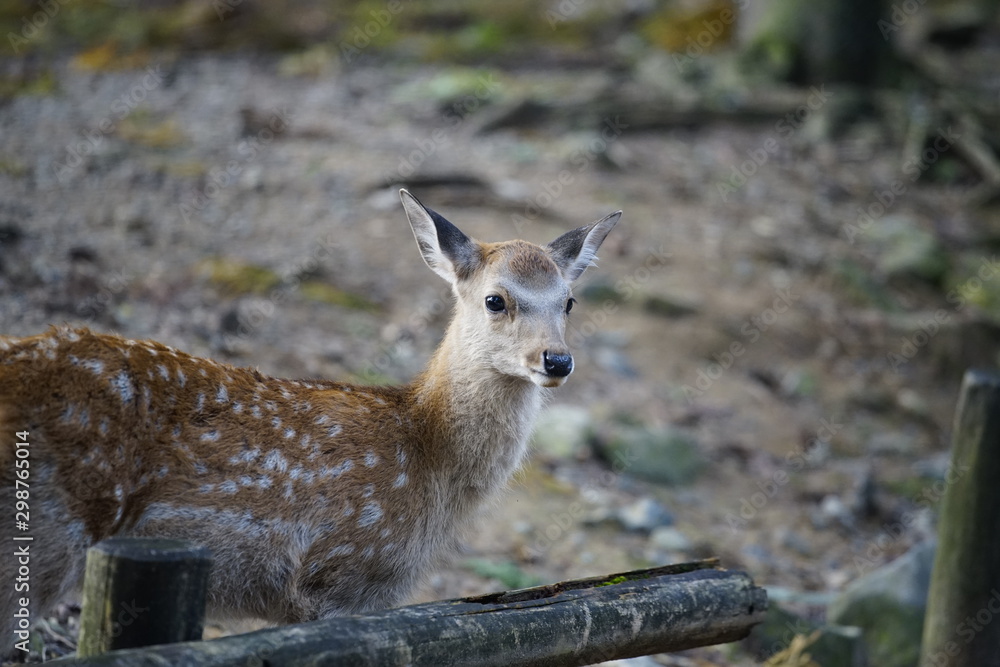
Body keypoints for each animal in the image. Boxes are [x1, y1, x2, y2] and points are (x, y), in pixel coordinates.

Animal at [1, 190, 616, 644]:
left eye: (568, 302)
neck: (428, 454)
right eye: (495, 300)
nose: (556, 360)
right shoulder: (339, 578)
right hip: (42, 535)